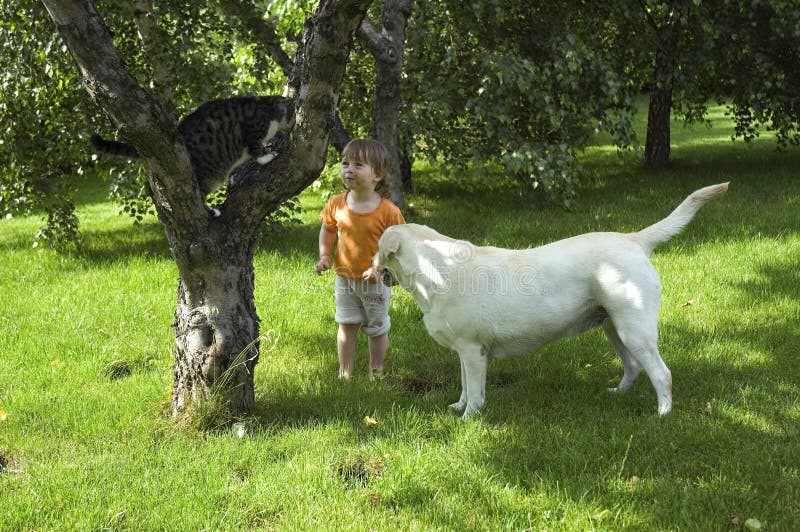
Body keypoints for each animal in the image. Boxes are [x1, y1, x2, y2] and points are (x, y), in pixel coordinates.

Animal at [90, 94, 296, 201]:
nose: (293, 124)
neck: (270, 108)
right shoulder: (253, 129)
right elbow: (256, 149)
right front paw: (267, 155)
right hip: (205, 172)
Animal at [372, 183, 728, 420]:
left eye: (378, 248)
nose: (369, 268)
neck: (436, 269)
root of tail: (633, 239)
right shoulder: (466, 350)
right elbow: (463, 385)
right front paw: (458, 406)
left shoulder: (473, 350)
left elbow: (474, 390)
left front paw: (468, 417)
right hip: (613, 326)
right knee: (634, 366)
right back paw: (618, 394)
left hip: (634, 328)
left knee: (661, 373)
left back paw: (663, 414)